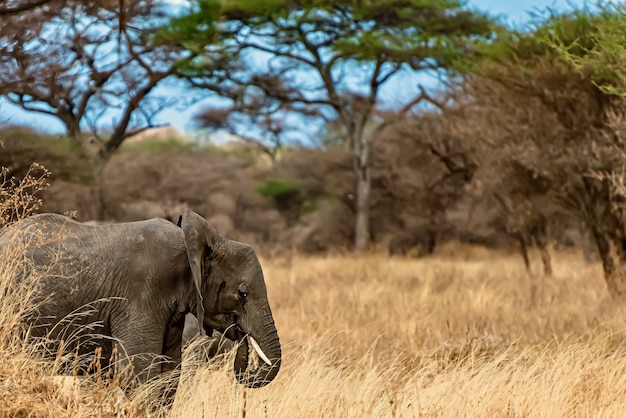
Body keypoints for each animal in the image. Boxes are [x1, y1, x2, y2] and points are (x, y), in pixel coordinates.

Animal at [0, 209, 280, 388]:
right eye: (242, 294)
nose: (242, 335)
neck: (190, 244)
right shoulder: (140, 295)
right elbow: (139, 372)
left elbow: (168, 375)